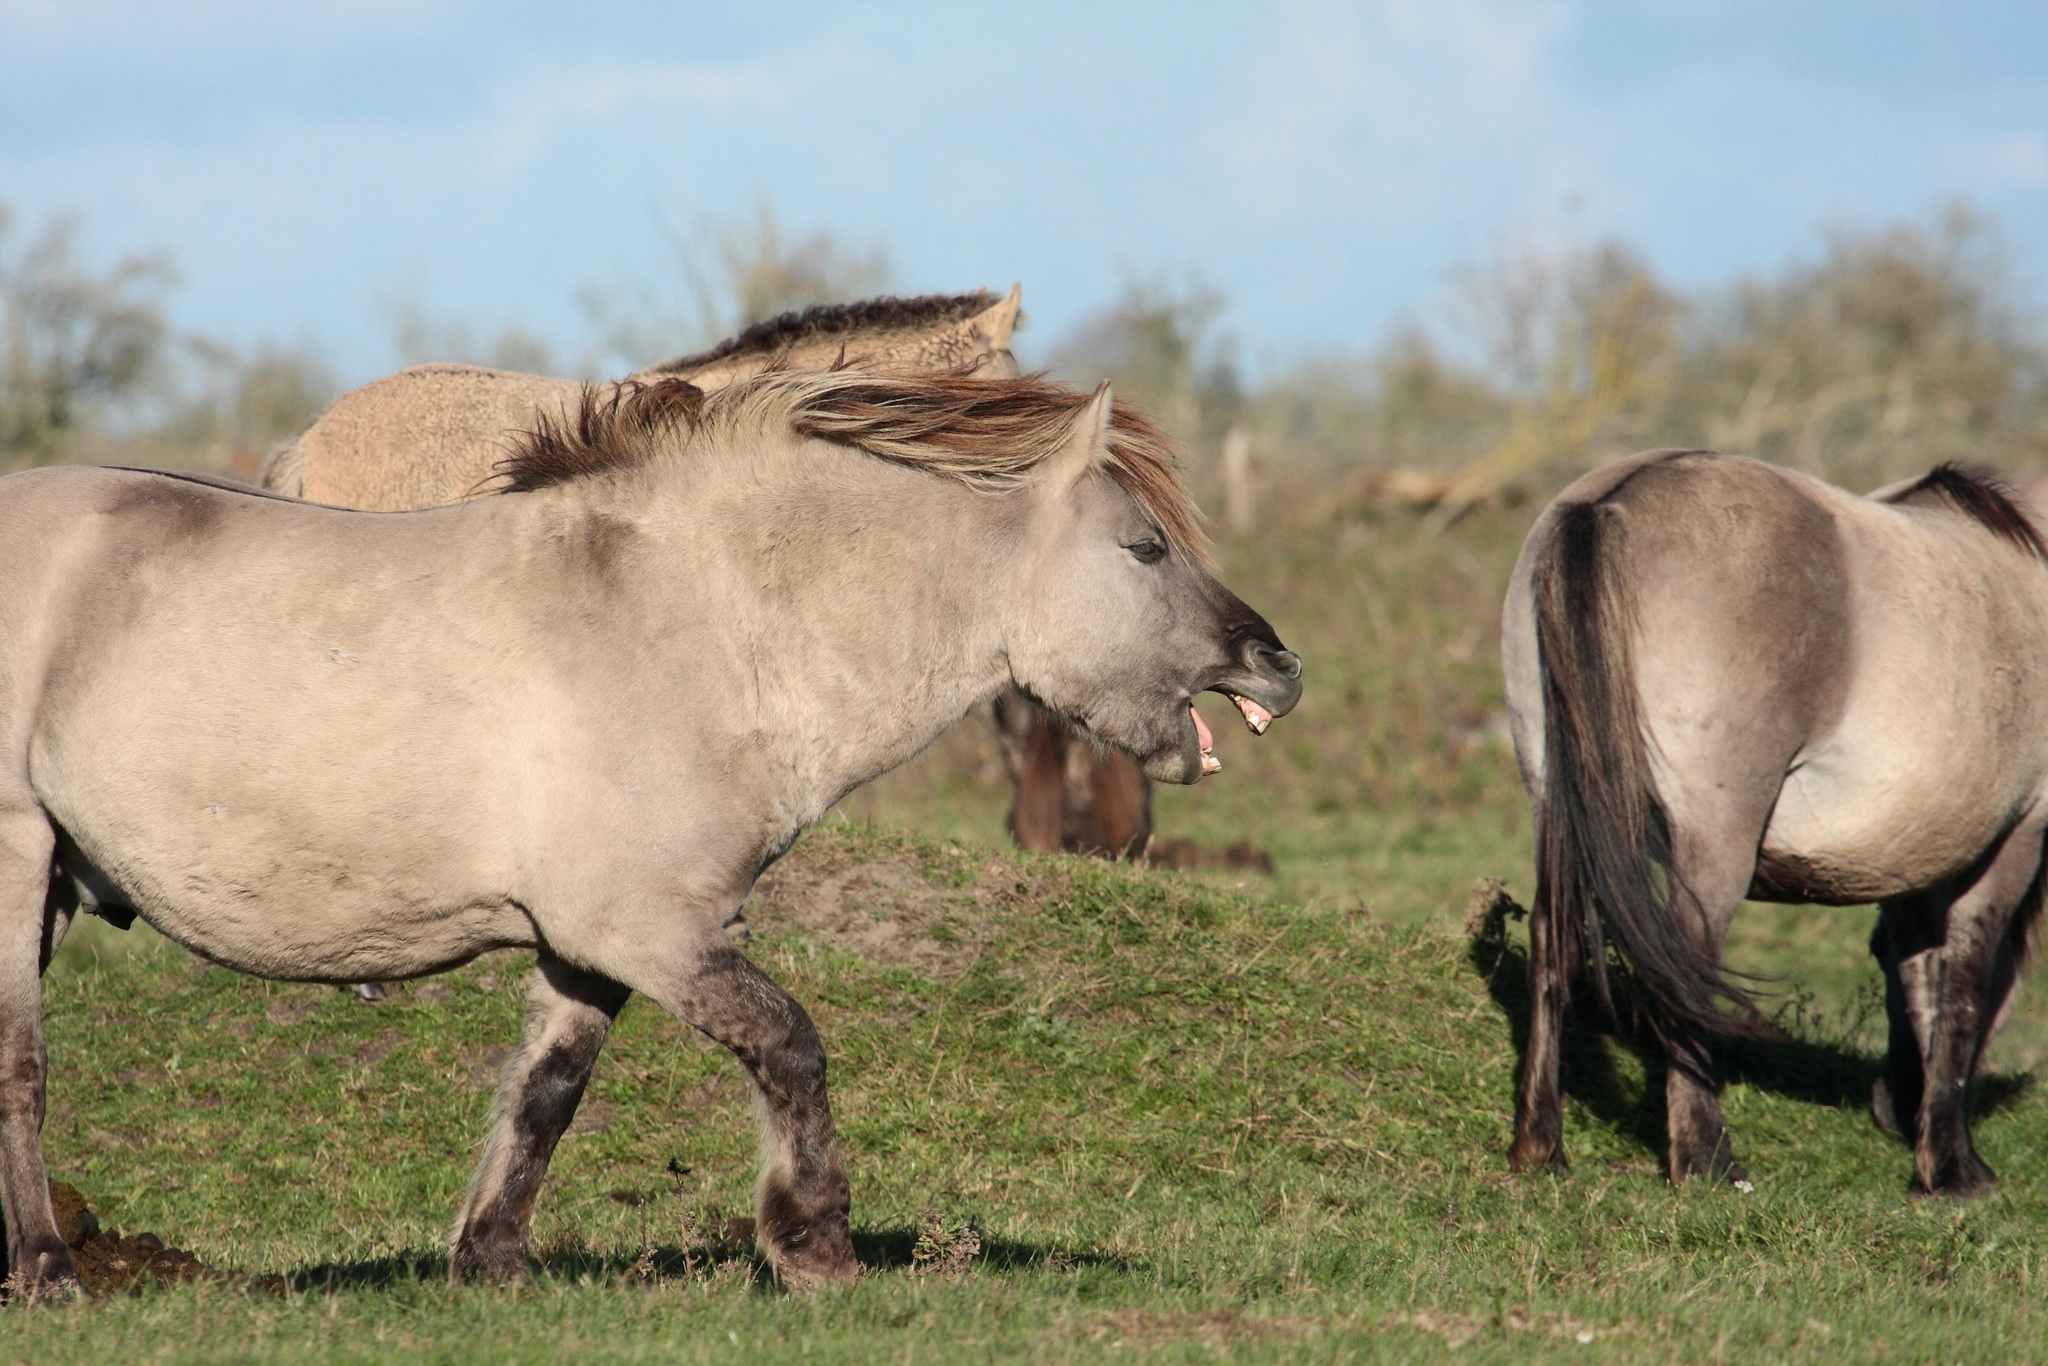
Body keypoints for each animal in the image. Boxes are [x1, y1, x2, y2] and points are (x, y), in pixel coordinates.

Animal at [0, 368, 1302, 1302]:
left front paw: (491, 1263)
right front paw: (812, 1245)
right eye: (1144, 547)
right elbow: (789, 1044)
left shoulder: (587, 945)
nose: (1276, 664)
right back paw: (52, 1272)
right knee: (21, 1065)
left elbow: (545, 1092)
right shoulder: (650, 928)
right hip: (18, 866)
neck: (696, 625)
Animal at [1507, 450, 2048, 1196]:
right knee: (1684, 962)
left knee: (1552, 939)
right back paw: (1707, 1161)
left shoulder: (1920, 853)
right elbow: (1963, 979)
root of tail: (1613, 499)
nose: (1892, 1107)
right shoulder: (2016, 835)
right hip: (1714, 841)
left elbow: (1918, 972)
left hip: (1556, 807)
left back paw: (1540, 1147)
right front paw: (1951, 1165)